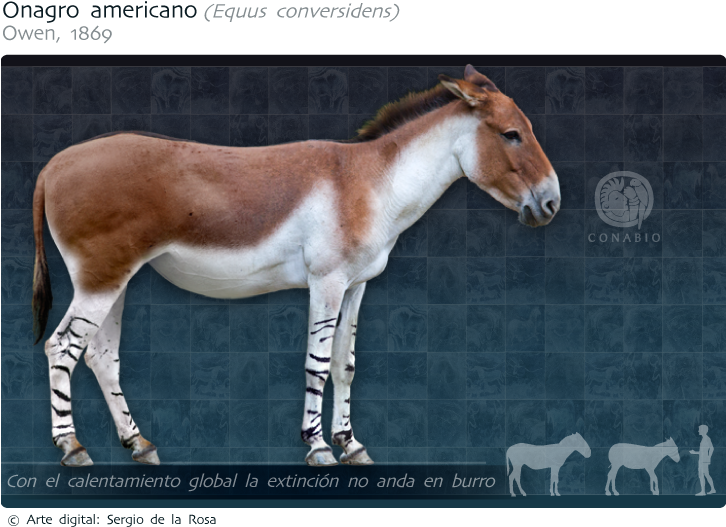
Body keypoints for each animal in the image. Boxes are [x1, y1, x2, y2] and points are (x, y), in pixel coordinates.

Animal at [31, 65, 560, 467]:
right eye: (512, 135)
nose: (552, 203)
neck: (374, 183)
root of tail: (53, 163)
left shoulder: (357, 285)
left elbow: (345, 365)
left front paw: (352, 445)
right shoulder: (325, 282)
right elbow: (317, 364)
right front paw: (318, 447)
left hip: (116, 278)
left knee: (101, 356)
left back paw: (138, 444)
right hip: (100, 278)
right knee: (62, 347)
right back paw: (72, 448)